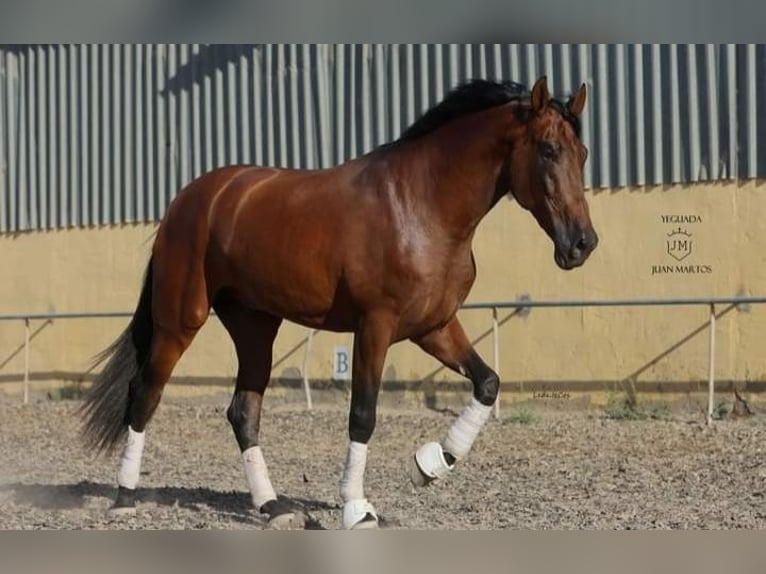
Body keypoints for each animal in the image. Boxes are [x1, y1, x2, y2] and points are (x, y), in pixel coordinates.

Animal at [82, 75, 600, 532]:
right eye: (548, 150)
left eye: (584, 154)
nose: (581, 244)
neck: (421, 206)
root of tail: (188, 200)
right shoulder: (375, 326)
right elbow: (363, 415)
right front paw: (357, 508)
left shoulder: (434, 326)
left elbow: (488, 383)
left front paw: (430, 465)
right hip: (180, 320)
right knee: (145, 395)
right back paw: (125, 498)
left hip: (255, 327)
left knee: (243, 412)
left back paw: (274, 508)